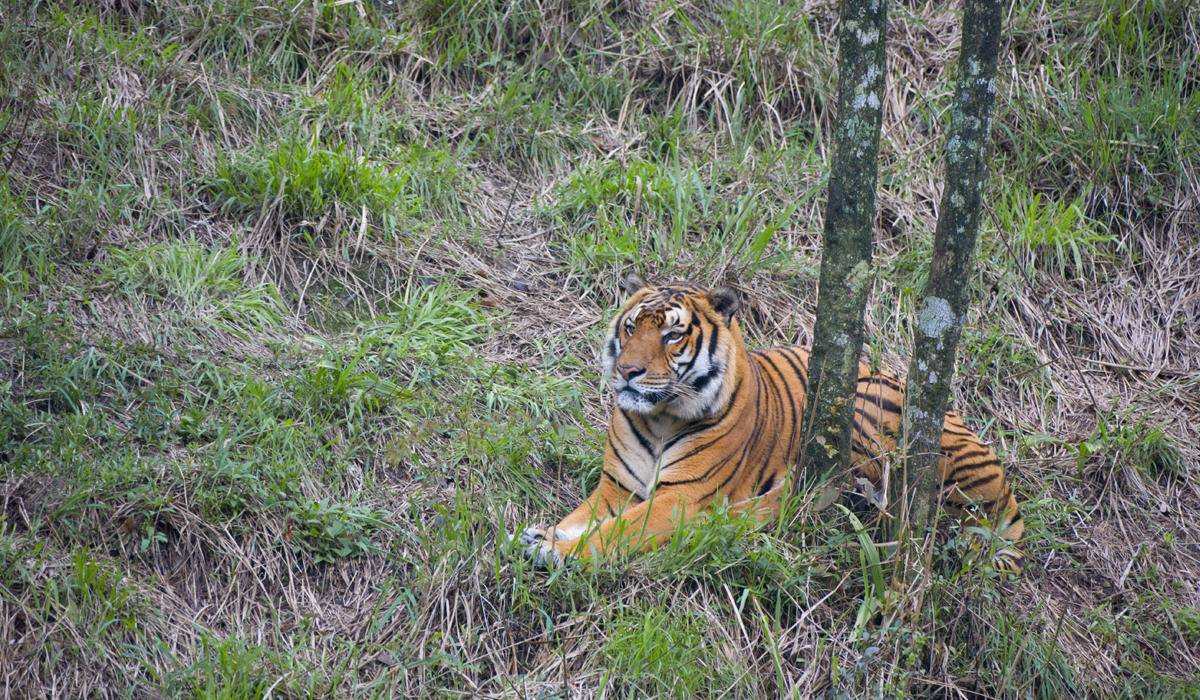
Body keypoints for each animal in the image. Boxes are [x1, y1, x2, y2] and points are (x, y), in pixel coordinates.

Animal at [520, 276, 1027, 571]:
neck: (660, 418)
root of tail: (1007, 489)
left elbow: (618, 531)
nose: (627, 372)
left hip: (862, 411)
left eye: (671, 335)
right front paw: (543, 533)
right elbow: (582, 517)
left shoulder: (680, 498)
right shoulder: (617, 488)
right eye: (631, 328)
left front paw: (556, 551)